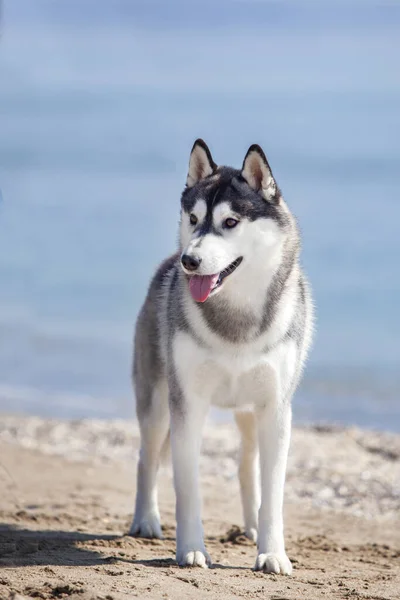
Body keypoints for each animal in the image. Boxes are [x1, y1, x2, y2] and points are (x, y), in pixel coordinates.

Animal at [130, 138, 314, 576]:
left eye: (230, 222)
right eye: (194, 218)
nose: (190, 261)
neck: (236, 321)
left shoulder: (276, 409)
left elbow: (273, 491)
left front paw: (272, 553)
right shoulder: (187, 405)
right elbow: (187, 486)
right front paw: (191, 550)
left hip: (250, 412)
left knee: (248, 465)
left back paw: (250, 526)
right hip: (157, 403)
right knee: (147, 457)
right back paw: (146, 519)